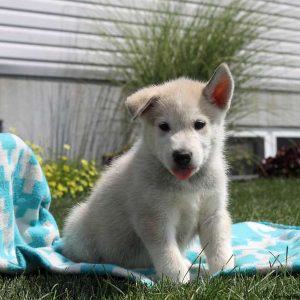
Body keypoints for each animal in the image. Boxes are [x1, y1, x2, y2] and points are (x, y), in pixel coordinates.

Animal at [63, 62, 236, 282]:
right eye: (164, 126)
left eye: (199, 124)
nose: (182, 156)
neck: (188, 184)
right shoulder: (154, 217)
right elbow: (166, 251)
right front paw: (176, 277)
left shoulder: (213, 214)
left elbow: (219, 246)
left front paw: (223, 272)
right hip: (79, 230)